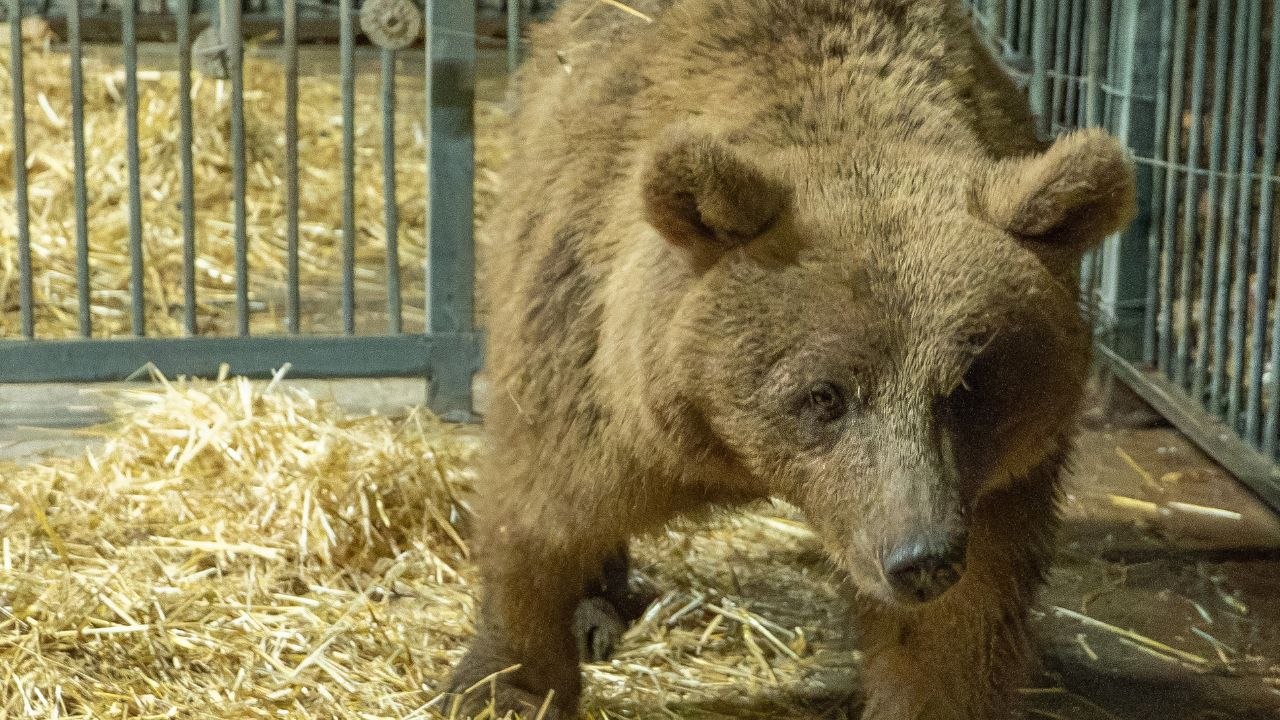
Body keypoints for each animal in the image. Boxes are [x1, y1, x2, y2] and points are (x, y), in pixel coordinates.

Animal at [447, 1, 1137, 718]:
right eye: (825, 393)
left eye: (971, 385)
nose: (920, 558)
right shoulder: (596, 368)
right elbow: (543, 519)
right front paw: (504, 682)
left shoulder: (993, 482)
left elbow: (956, 622)